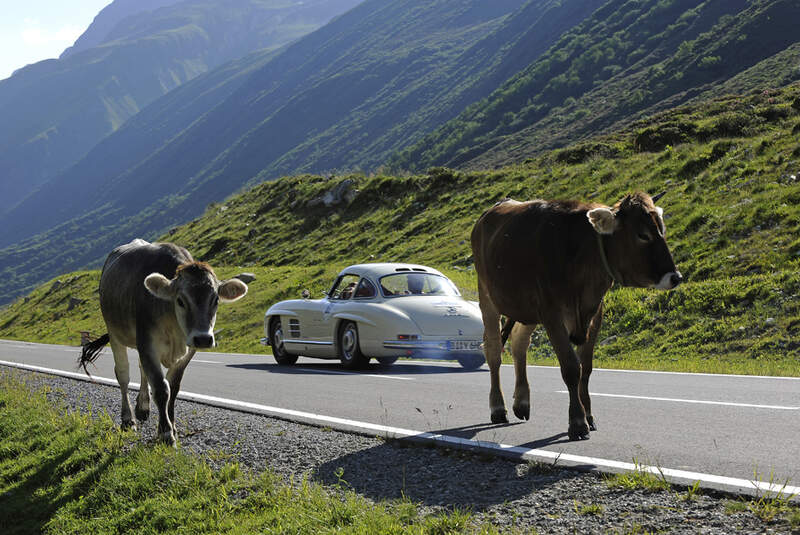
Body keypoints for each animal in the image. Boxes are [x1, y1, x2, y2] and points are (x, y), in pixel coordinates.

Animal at [80, 241, 247, 446]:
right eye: (180, 300)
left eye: (215, 300)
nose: (203, 338)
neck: (175, 328)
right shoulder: (148, 344)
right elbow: (161, 388)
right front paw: (166, 433)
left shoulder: (186, 352)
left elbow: (173, 388)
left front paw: (172, 426)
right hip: (115, 333)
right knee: (123, 375)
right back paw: (128, 419)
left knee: (141, 369)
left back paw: (143, 407)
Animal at [472, 192, 684, 440]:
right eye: (642, 234)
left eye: (662, 230)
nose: (675, 277)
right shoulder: (551, 314)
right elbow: (572, 368)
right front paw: (577, 422)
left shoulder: (595, 315)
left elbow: (587, 369)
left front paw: (589, 415)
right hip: (487, 296)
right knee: (494, 351)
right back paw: (498, 408)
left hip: (527, 310)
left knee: (519, 344)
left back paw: (522, 403)